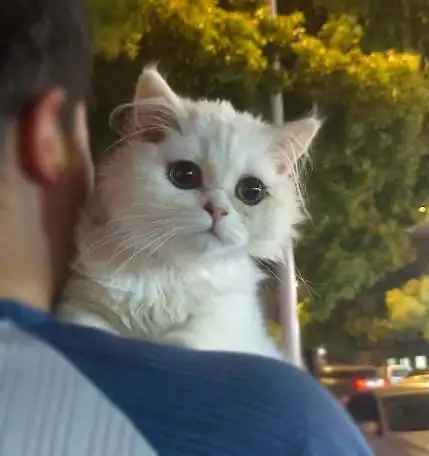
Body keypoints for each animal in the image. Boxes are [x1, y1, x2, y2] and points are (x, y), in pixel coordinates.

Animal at [58, 66, 318, 358]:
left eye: (251, 191)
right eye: (184, 175)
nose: (217, 210)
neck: (171, 274)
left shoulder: (215, 323)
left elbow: (186, 341)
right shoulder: (82, 308)